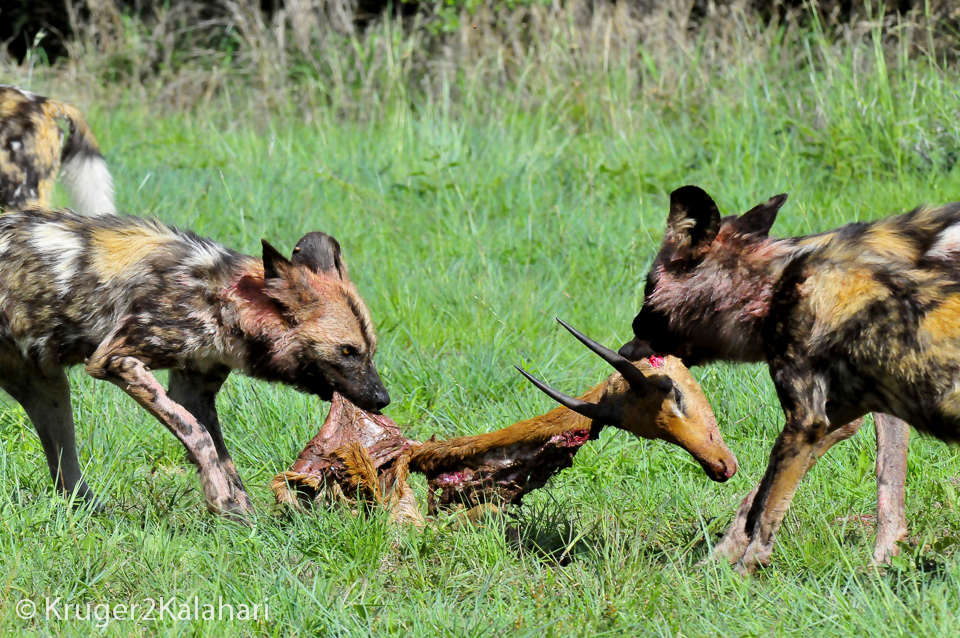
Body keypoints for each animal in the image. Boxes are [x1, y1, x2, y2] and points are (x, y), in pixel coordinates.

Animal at [0, 210, 390, 520]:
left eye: (370, 351)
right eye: (347, 351)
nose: (382, 400)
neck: (222, 298)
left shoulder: (194, 392)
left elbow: (222, 455)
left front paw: (242, 516)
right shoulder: (115, 360)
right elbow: (199, 437)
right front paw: (221, 501)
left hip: (49, 391)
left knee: (66, 474)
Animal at [616, 188, 960, 572]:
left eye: (649, 289)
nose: (625, 350)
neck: (775, 285)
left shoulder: (815, 416)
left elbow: (769, 506)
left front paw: (736, 568)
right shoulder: (850, 406)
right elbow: (762, 494)